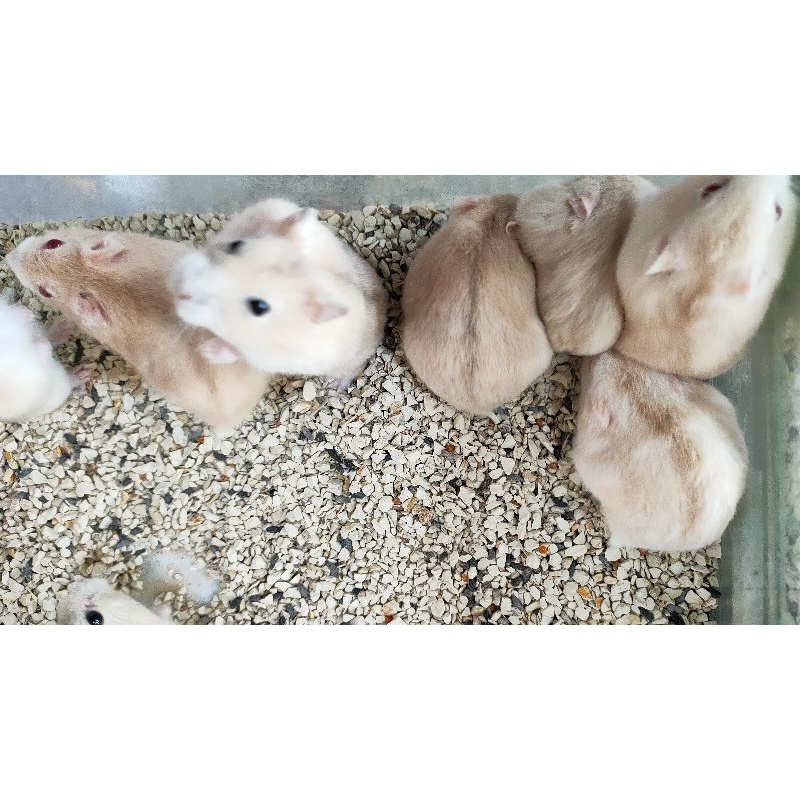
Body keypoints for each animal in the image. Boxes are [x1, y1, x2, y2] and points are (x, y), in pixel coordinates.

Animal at [173, 199, 388, 389]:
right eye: (236, 245)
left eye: (259, 307)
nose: (179, 289)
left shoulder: (271, 357)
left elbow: (241, 352)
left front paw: (207, 351)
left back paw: (334, 386)